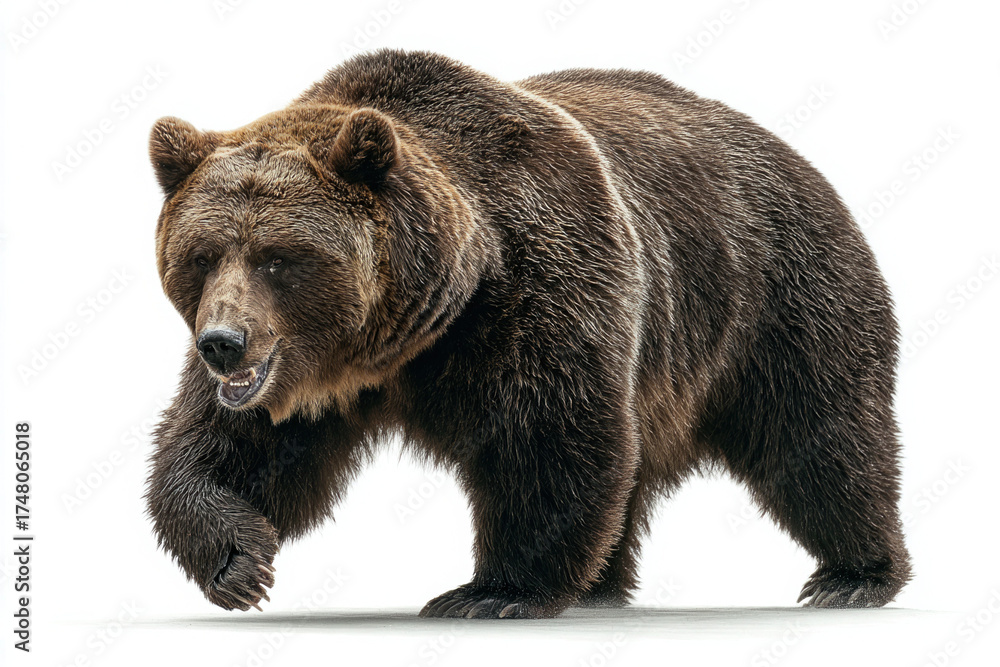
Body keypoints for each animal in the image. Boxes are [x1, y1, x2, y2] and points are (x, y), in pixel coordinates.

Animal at [145, 49, 911, 619]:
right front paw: (239, 561)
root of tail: (796, 156)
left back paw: (854, 574)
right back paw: (603, 586)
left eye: (278, 257)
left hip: (775, 297)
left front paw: (491, 591)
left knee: (821, 438)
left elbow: (547, 434)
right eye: (203, 255)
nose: (223, 342)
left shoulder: (539, 286)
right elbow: (226, 446)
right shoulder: (300, 376)